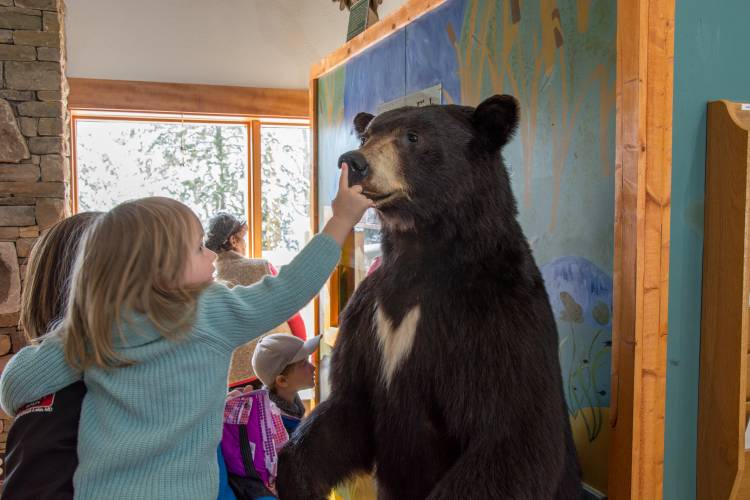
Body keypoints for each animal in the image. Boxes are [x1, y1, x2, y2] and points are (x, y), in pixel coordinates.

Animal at [276, 94, 580, 500]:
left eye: (413, 137)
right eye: (368, 135)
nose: (353, 162)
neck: (422, 251)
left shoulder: (498, 318)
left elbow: (511, 434)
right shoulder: (371, 315)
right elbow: (348, 405)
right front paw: (294, 477)